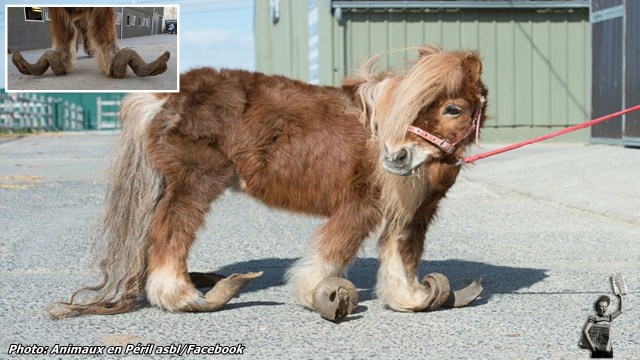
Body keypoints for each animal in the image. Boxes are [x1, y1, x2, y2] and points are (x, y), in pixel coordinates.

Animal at [50, 45, 488, 320]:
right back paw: (183, 297)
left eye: (454, 109)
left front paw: (410, 298)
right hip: (194, 182)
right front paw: (319, 296)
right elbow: (331, 252)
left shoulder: (411, 212)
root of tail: (163, 98)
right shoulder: (360, 206)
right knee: (169, 232)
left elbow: (402, 254)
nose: (395, 157)